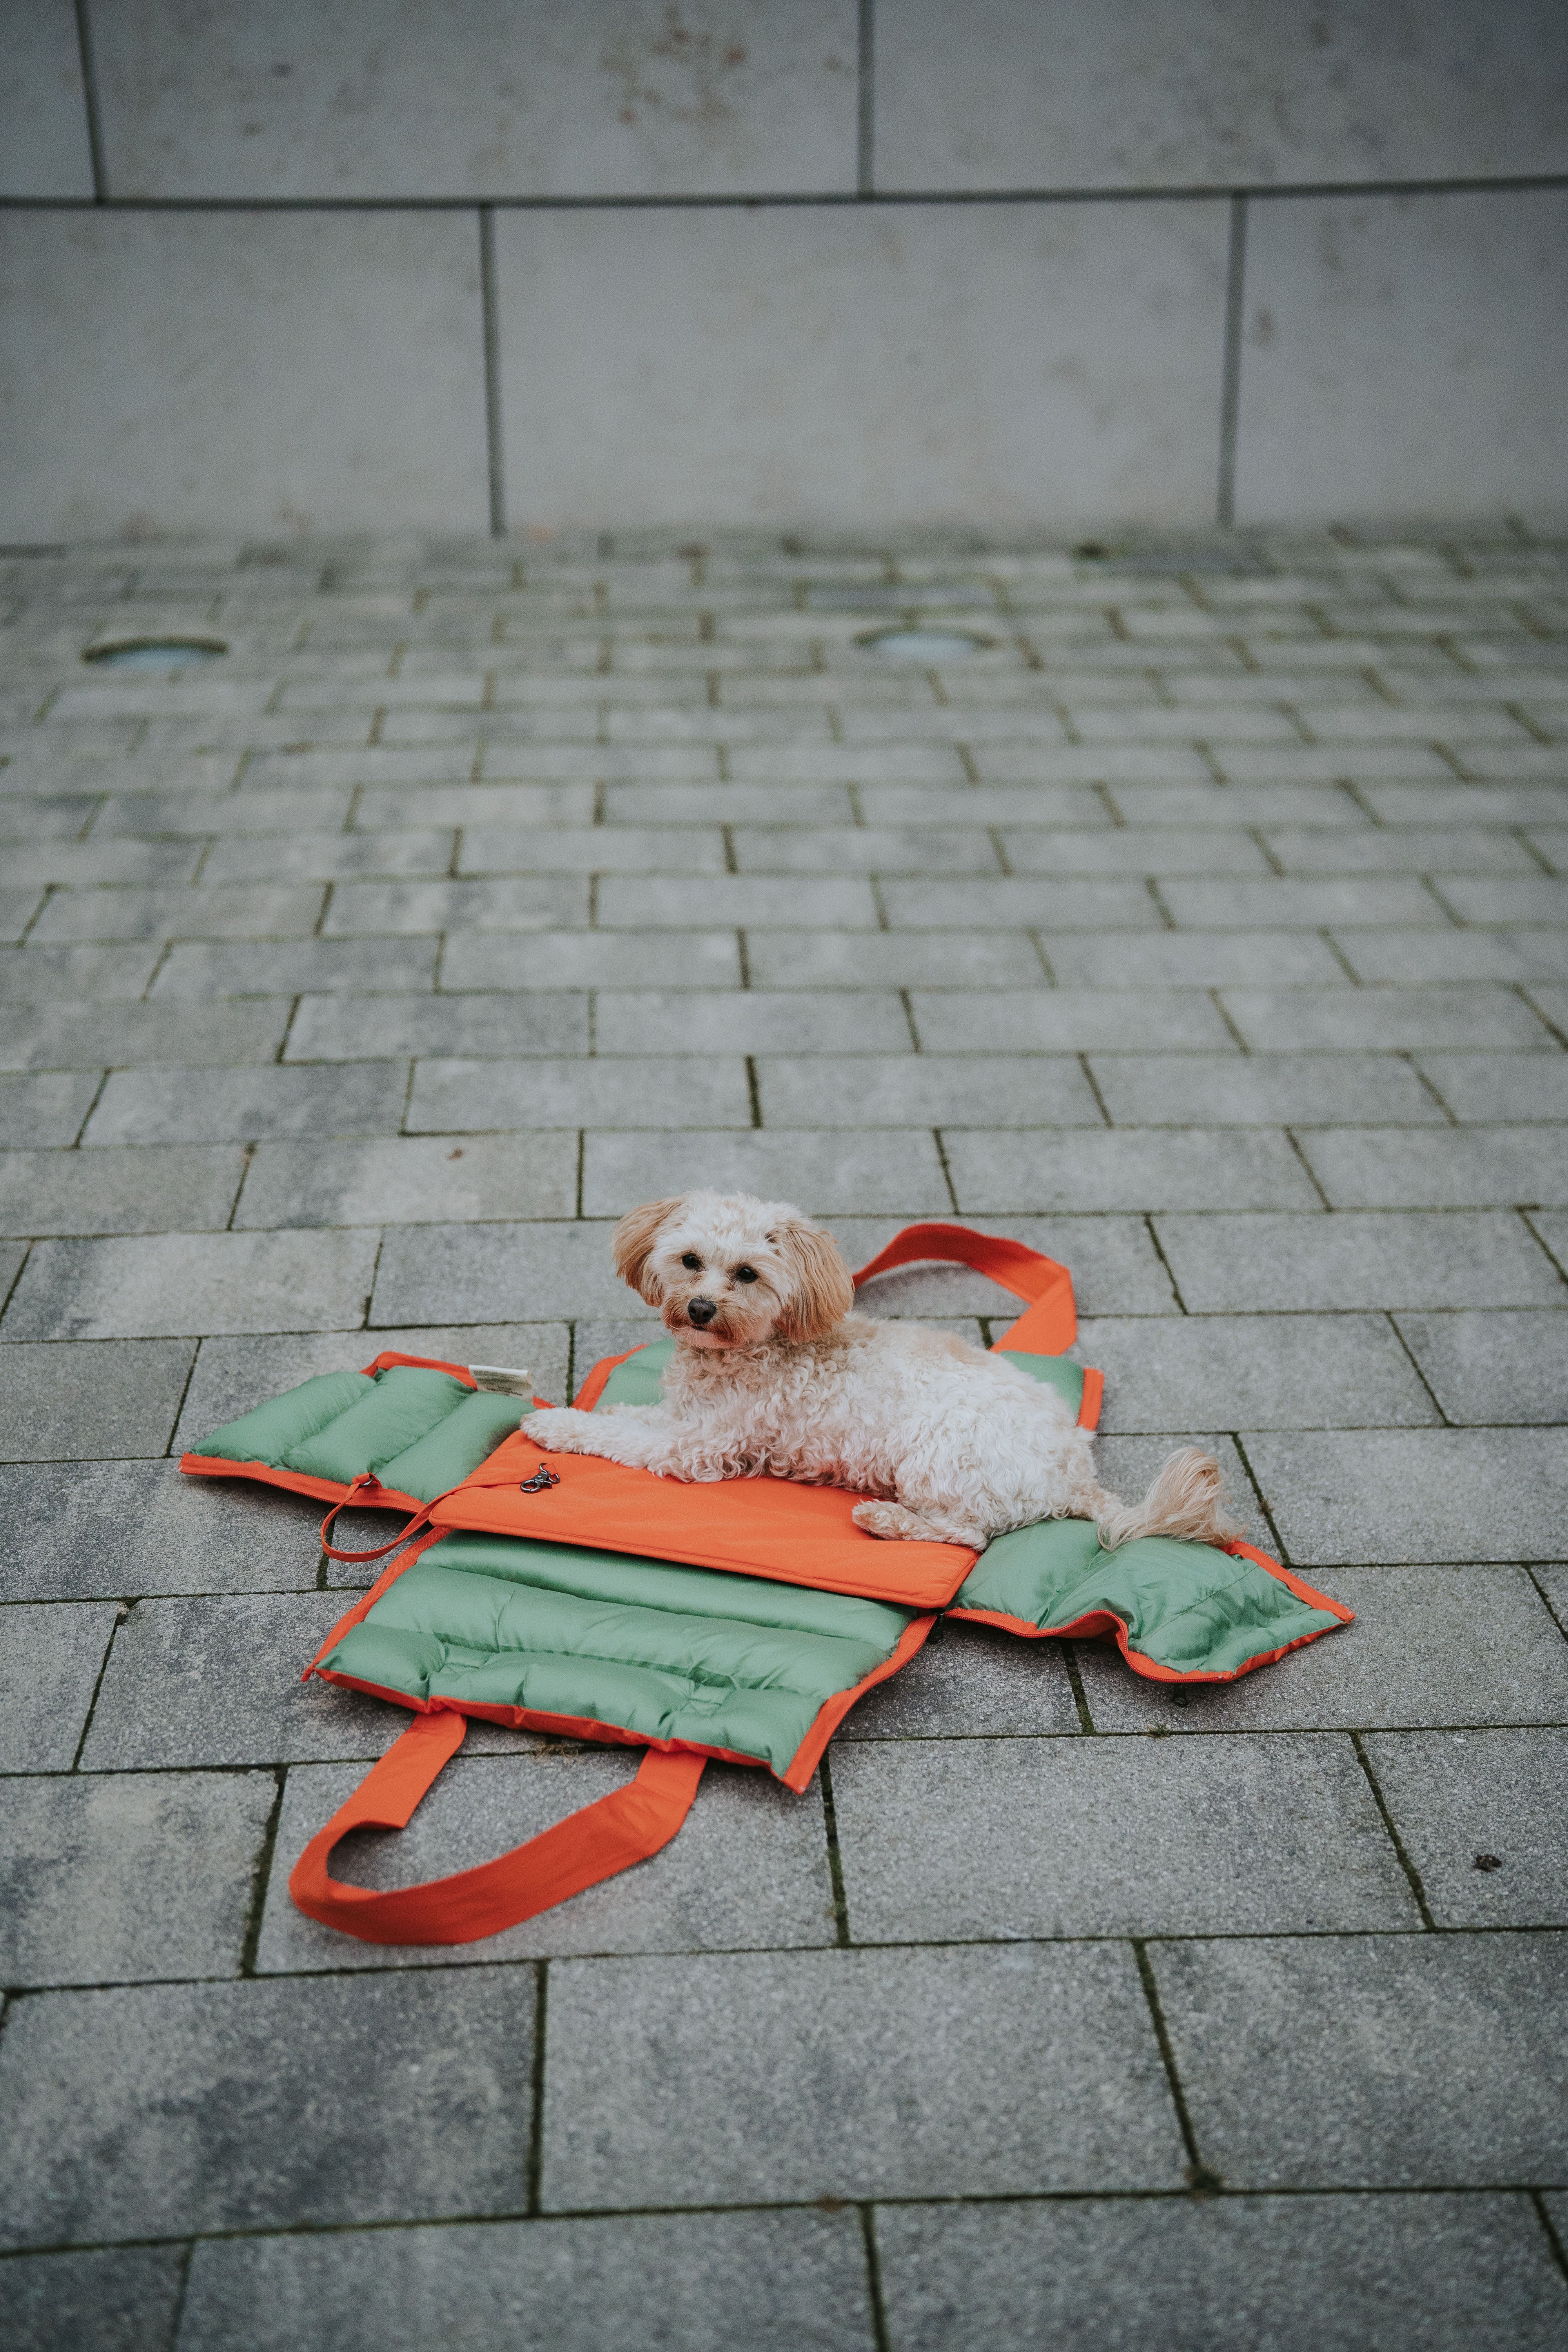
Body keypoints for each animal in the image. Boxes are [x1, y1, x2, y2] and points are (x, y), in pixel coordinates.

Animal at [522, 1185, 1241, 1552]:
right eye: (690, 1260)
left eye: (748, 1274)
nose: (699, 1309)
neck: (754, 1346)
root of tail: (1076, 1473)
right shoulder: (682, 1420)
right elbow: (631, 1417)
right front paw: (600, 1407)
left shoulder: (698, 1447)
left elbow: (618, 1437)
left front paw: (555, 1426)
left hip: (937, 1456)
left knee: (967, 1536)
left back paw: (886, 1520)